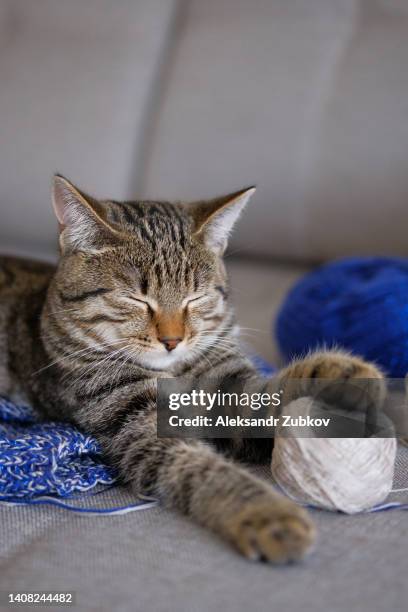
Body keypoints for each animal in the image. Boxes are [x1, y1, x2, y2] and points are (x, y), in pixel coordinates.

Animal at [0, 176, 382, 564]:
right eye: (136, 299)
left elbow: (269, 394)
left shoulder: (230, 386)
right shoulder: (135, 418)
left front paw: (341, 371)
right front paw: (268, 514)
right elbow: (201, 469)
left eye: (195, 298)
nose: (172, 340)